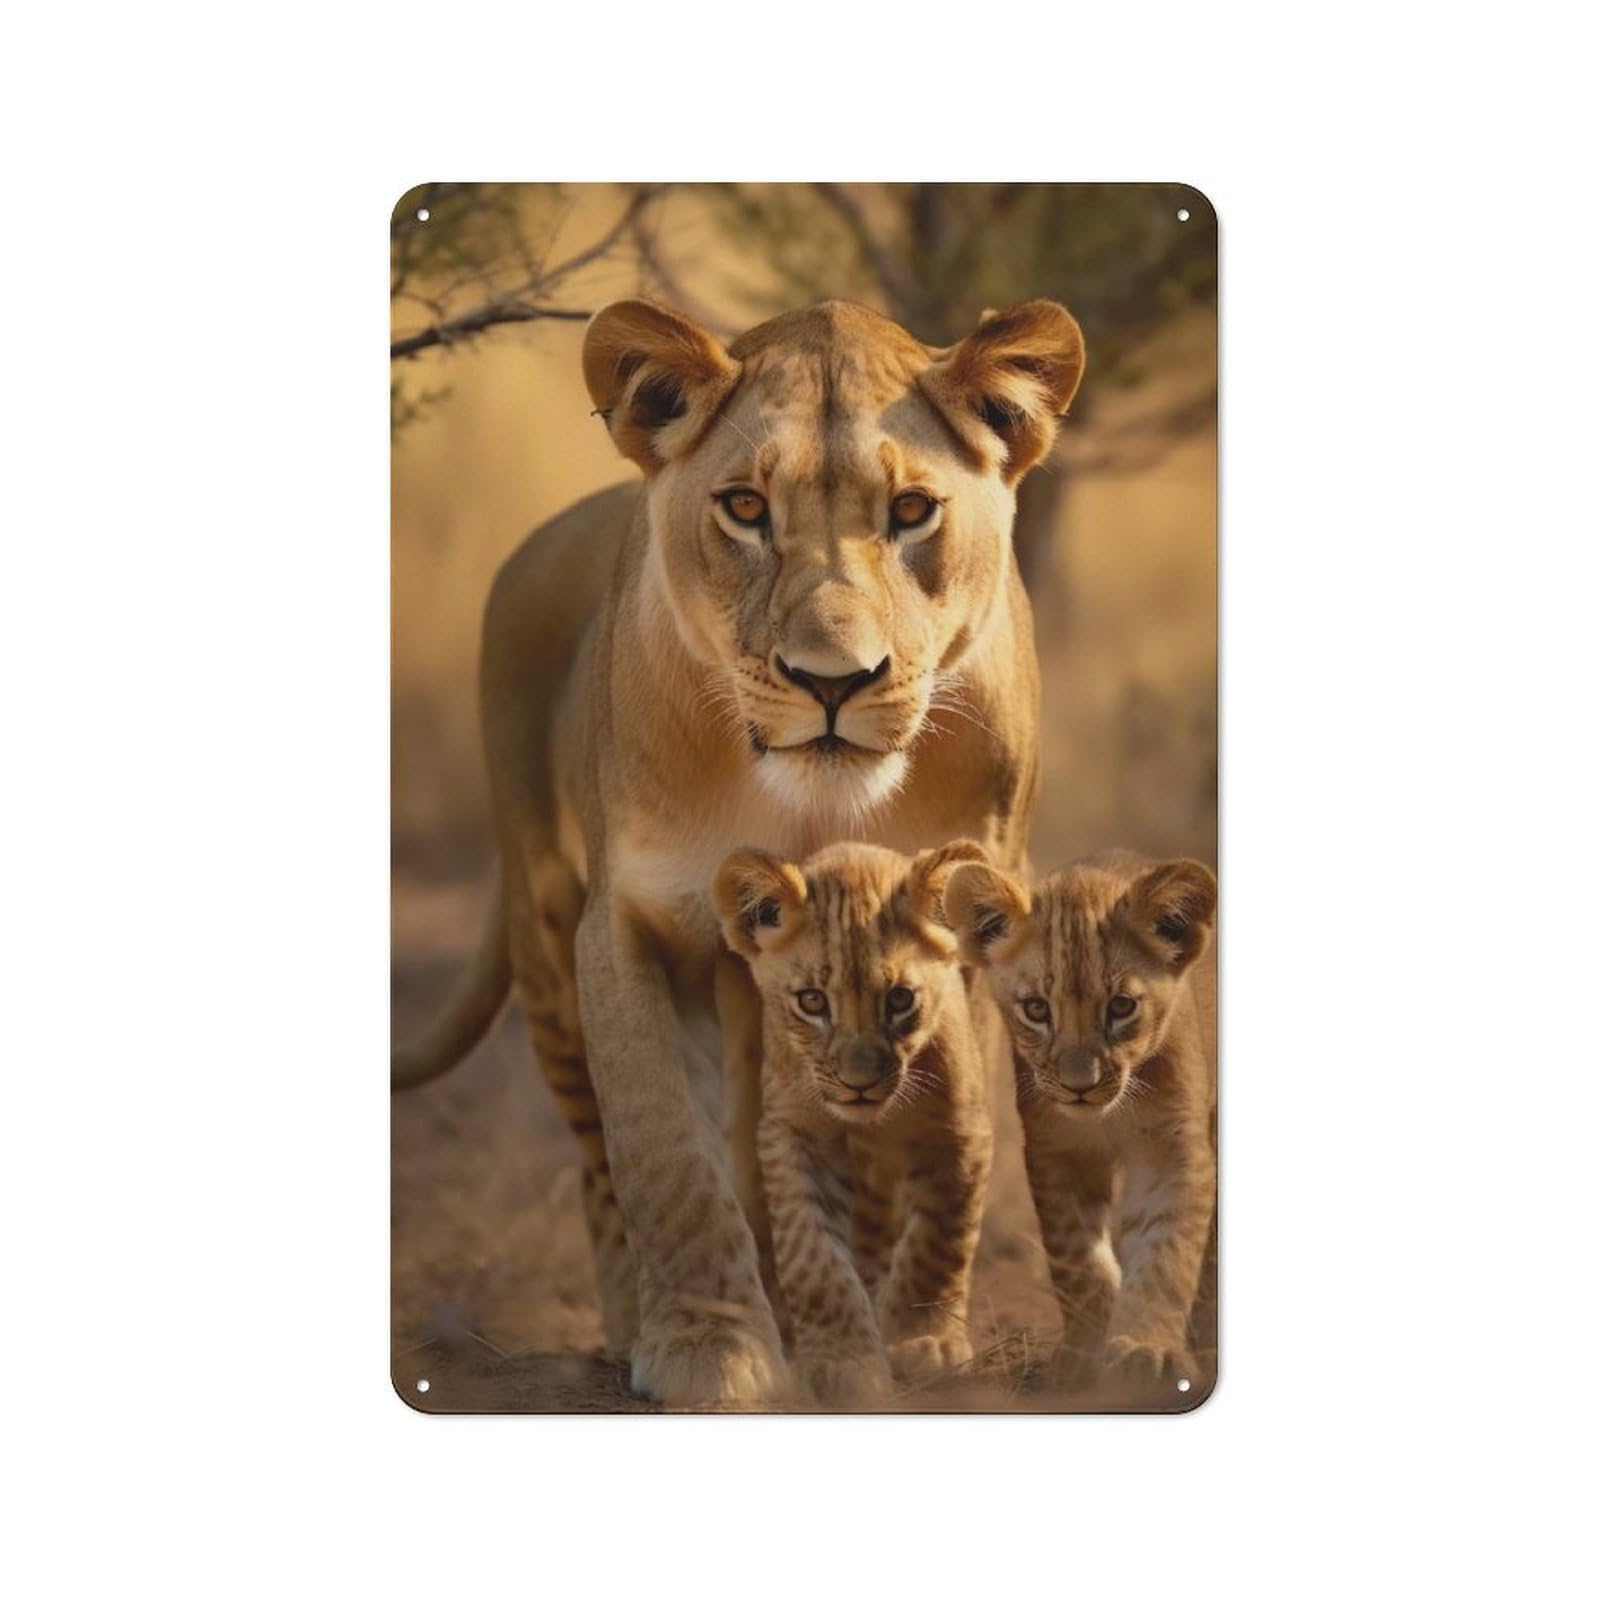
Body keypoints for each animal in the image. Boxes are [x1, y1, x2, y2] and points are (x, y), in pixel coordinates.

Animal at [393, 295, 1086, 1408]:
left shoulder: (973, 919)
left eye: (911, 512)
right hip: (546, 942)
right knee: (601, 1161)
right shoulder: (631, 923)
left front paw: (910, 1330)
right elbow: (667, 1154)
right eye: (746, 508)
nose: (833, 680)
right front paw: (710, 1350)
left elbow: (956, 1139)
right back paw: (639, 1322)